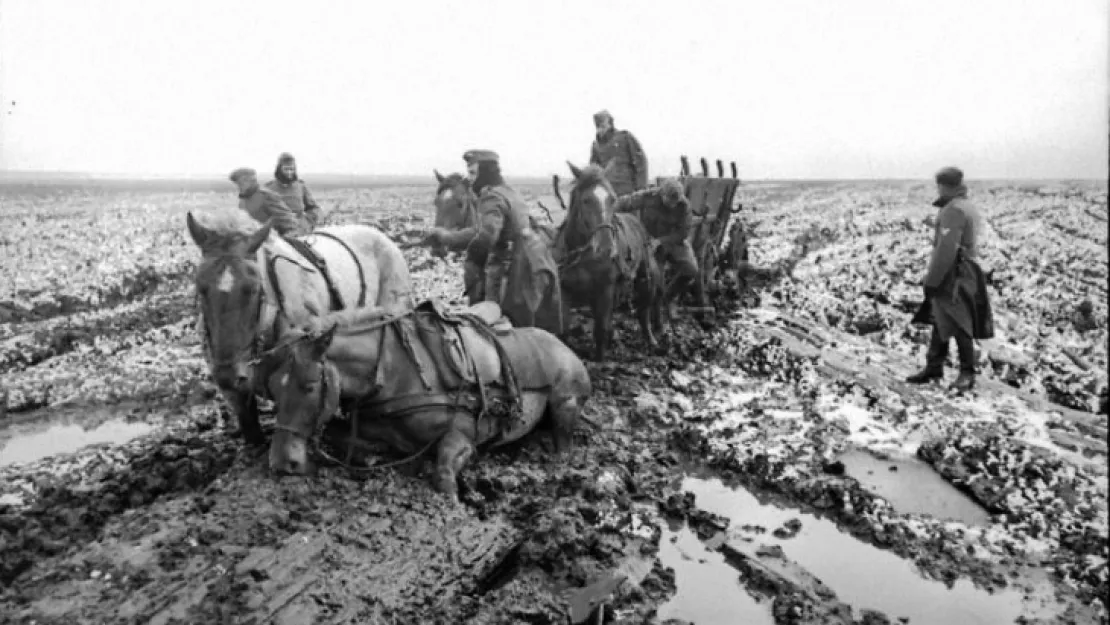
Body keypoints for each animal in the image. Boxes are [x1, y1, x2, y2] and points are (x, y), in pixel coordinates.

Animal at [261, 299, 590, 501]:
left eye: (308, 386)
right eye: (273, 391)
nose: (282, 463)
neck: (394, 371)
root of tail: (561, 343)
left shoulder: (463, 436)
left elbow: (443, 473)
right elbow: (343, 436)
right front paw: (372, 454)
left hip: (565, 402)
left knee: (564, 441)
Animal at [552, 160, 661, 361]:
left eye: (612, 199)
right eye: (586, 200)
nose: (606, 249)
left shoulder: (605, 289)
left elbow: (601, 328)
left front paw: (601, 359)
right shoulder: (565, 290)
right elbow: (564, 329)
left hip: (645, 278)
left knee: (644, 311)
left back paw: (651, 339)